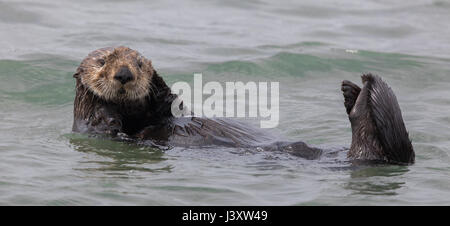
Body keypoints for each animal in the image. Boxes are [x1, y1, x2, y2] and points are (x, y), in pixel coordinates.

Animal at [73, 46, 414, 164]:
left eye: (140, 64)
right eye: (102, 62)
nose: (125, 73)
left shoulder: (160, 110)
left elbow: (170, 106)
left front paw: (159, 85)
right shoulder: (92, 125)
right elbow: (101, 124)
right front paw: (107, 113)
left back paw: (353, 90)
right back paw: (357, 96)